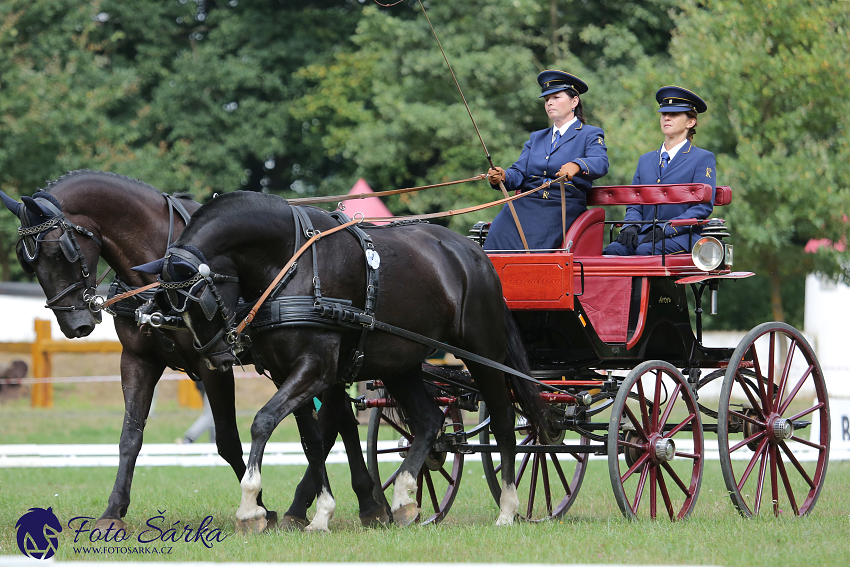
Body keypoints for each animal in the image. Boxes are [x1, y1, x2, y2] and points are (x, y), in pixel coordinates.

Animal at [0, 172, 388, 532]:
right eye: (27, 261)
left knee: (334, 420)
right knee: (341, 419)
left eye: (56, 252)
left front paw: (260, 508)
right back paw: (355, 503)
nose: (75, 325)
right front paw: (113, 511)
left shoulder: (214, 364)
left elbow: (228, 441)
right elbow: (130, 436)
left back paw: (345, 503)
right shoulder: (138, 361)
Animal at [141, 193, 544, 532]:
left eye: (201, 302)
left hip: (483, 353)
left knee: (504, 421)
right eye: (169, 306)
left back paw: (508, 508)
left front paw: (251, 507)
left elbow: (265, 421)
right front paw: (320, 513)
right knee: (429, 421)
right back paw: (403, 499)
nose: (217, 358)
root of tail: (474, 253)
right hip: (400, 366)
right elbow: (312, 440)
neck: (292, 263)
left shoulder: (316, 369)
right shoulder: (287, 373)